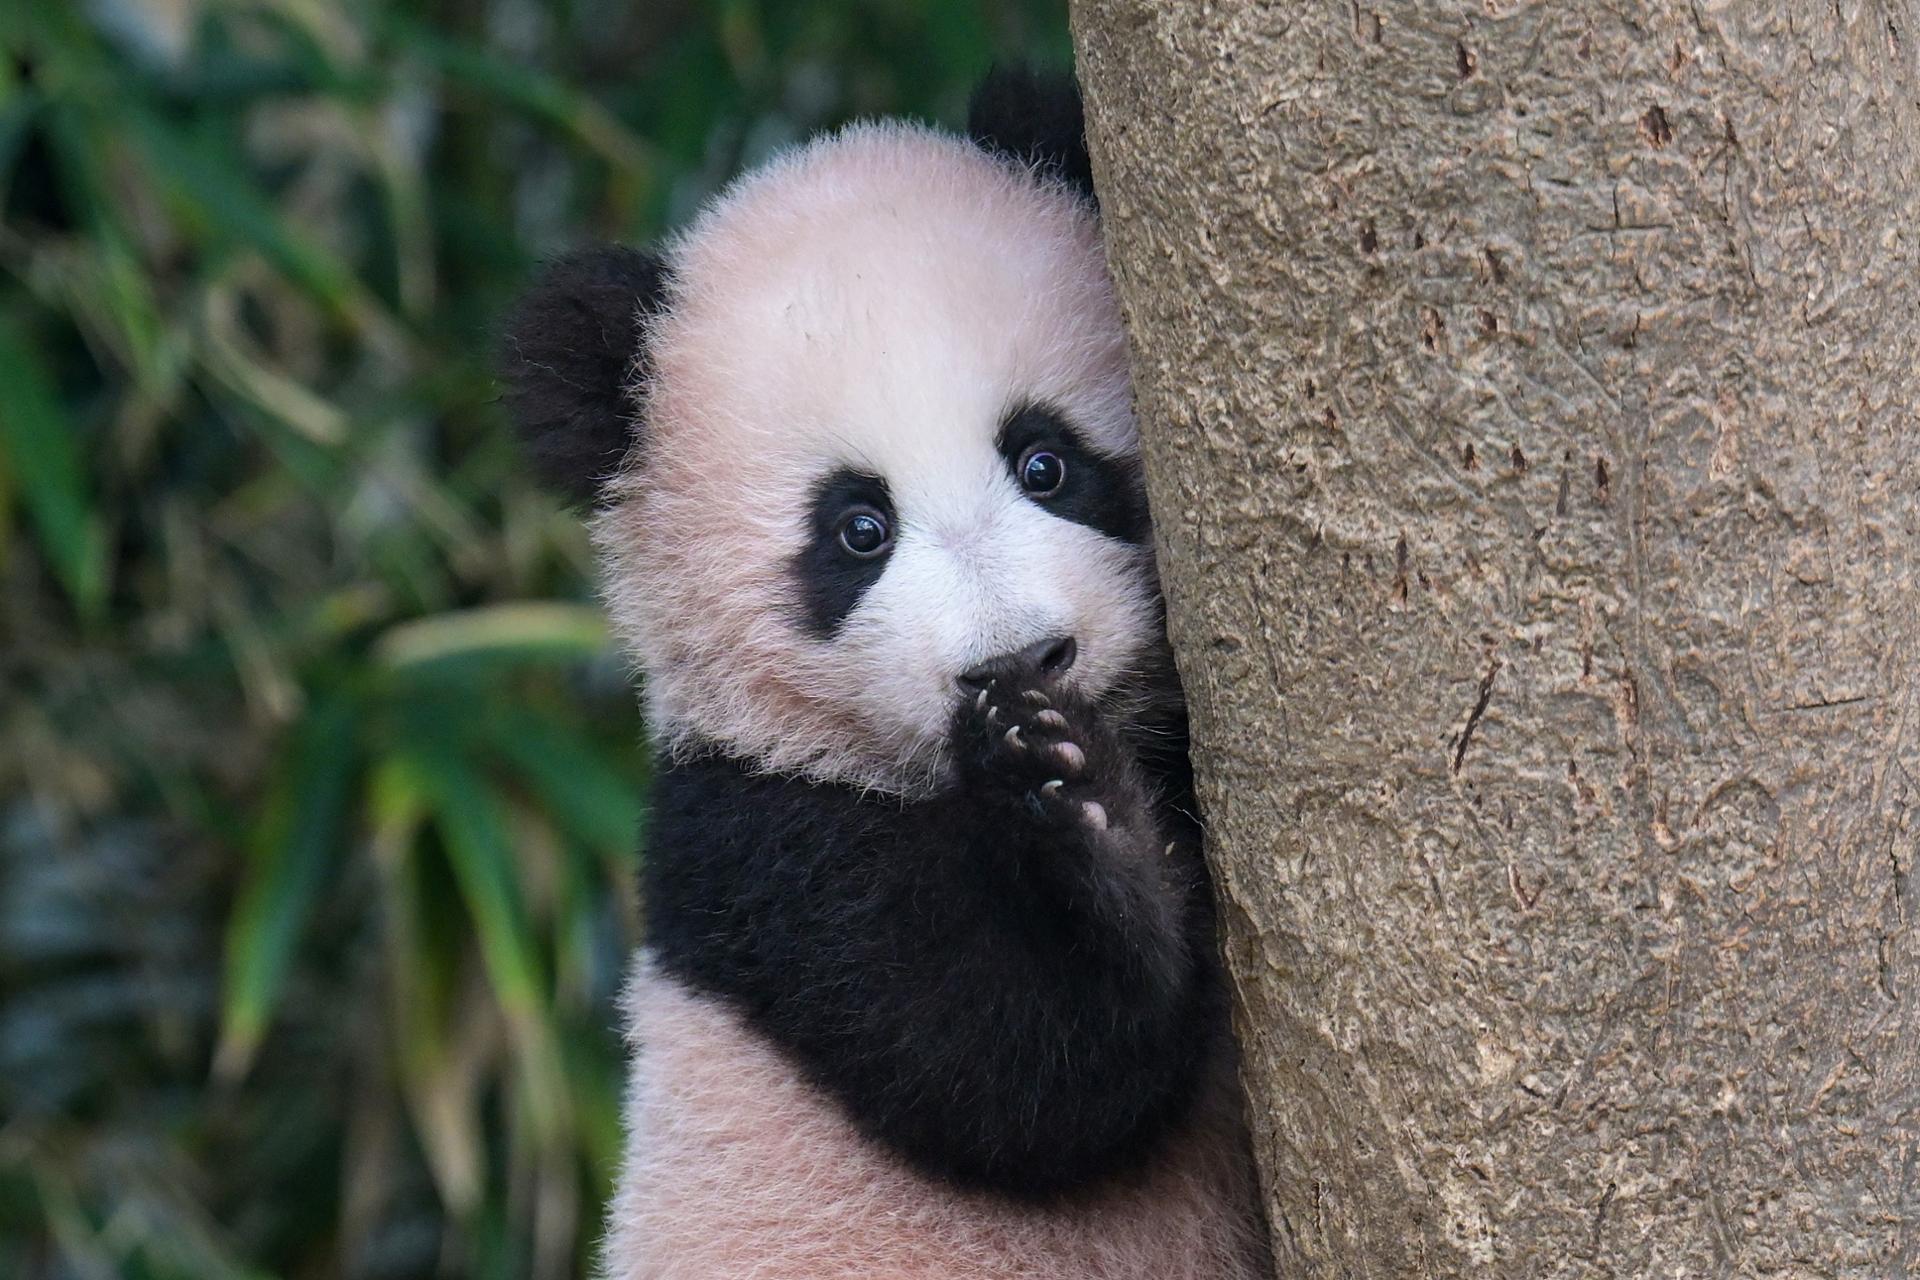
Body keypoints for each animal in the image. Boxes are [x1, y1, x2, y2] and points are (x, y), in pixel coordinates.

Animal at [501, 69, 1267, 1280]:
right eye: (859, 530)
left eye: (1045, 461)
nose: (1020, 662)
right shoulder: (753, 845)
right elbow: (1027, 1074)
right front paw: (1079, 806)